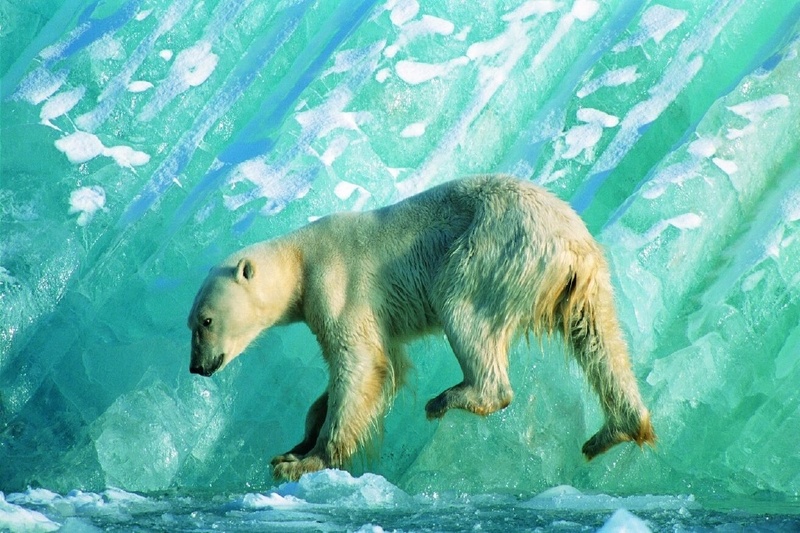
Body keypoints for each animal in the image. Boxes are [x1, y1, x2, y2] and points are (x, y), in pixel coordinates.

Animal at [189, 172, 656, 480]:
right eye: (191, 322)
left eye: (205, 321)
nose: (197, 366)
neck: (300, 257)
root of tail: (569, 242)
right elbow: (385, 366)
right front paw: (295, 446)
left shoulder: (337, 285)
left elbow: (359, 364)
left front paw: (303, 461)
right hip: (583, 282)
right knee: (599, 342)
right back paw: (614, 430)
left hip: (492, 248)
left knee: (461, 306)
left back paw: (452, 397)